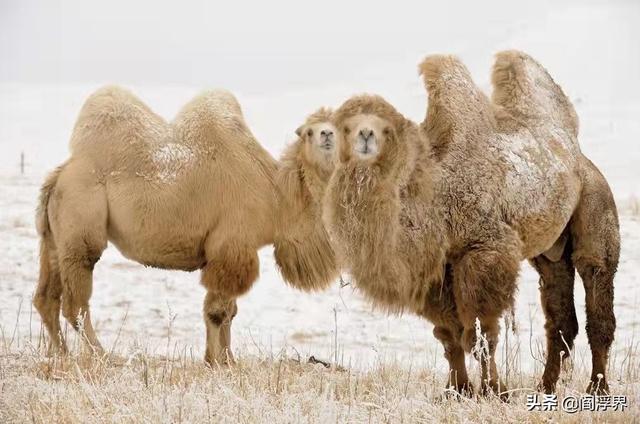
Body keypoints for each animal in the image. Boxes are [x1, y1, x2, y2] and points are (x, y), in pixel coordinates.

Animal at [33, 88, 340, 366]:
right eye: (309, 132)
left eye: (336, 128)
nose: (327, 135)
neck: (275, 197)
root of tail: (59, 175)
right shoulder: (231, 247)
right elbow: (218, 311)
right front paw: (217, 362)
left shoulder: (231, 252)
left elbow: (230, 311)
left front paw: (227, 360)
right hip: (80, 222)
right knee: (75, 302)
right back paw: (103, 355)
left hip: (54, 236)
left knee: (46, 297)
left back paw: (60, 354)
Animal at [328, 50, 616, 398]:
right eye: (344, 127)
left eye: (383, 129)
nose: (364, 137)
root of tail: (578, 155)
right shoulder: (438, 268)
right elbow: (448, 335)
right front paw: (457, 391)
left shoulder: (484, 251)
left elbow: (481, 335)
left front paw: (496, 391)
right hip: (550, 250)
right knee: (560, 314)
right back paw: (544, 388)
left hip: (596, 202)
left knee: (596, 283)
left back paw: (597, 389)